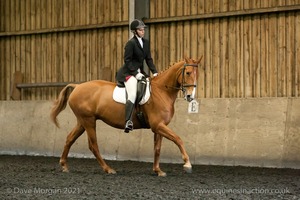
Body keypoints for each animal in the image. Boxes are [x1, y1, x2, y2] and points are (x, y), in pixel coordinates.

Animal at [50, 56, 203, 177]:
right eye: (188, 72)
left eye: (197, 74)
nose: (190, 96)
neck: (161, 91)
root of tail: (77, 86)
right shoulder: (158, 125)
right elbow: (178, 139)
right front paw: (187, 164)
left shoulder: (160, 126)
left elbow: (157, 148)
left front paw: (158, 170)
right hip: (88, 121)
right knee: (93, 145)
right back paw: (108, 169)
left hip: (82, 121)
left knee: (70, 139)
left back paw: (64, 166)